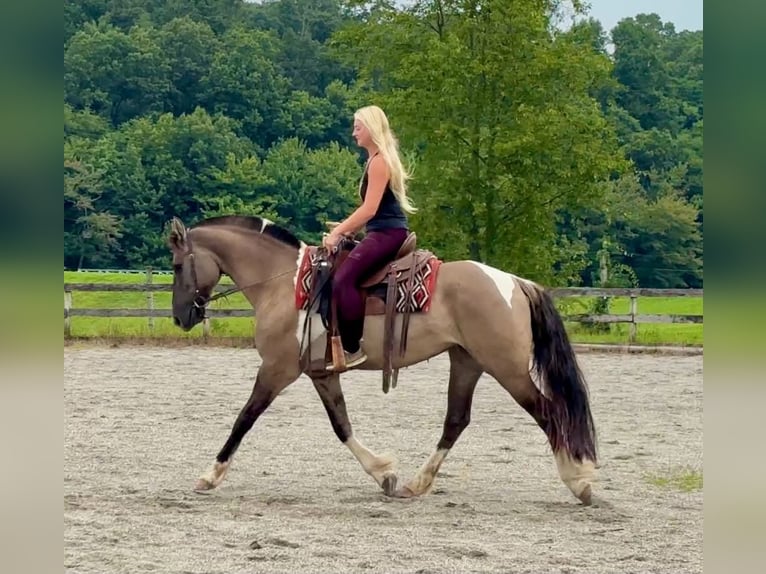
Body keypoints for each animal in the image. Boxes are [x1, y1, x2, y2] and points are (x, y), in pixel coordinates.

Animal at [167, 214, 598, 505]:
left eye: (176, 265)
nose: (181, 317)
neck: (283, 284)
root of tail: (514, 283)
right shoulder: (321, 373)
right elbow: (341, 424)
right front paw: (384, 475)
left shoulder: (276, 369)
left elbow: (244, 419)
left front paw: (209, 476)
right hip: (467, 361)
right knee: (456, 420)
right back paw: (416, 484)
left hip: (506, 368)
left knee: (548, 411)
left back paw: (579, 481)